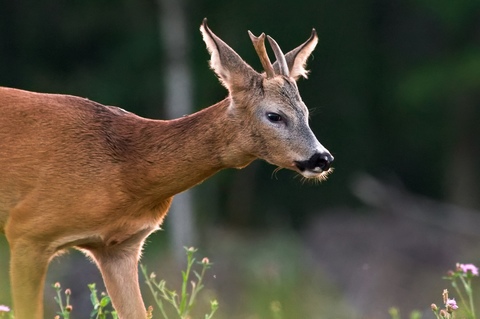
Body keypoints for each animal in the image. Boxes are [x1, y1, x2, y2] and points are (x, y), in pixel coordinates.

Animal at [0, 18, 334, 318]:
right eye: (275, 115)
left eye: (306, 112)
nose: (322, 158)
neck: (126, 169)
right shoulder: (27, 230)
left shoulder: (119, 247)